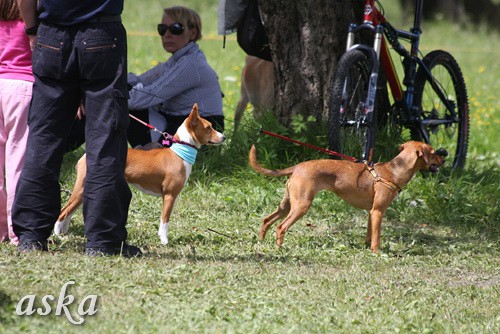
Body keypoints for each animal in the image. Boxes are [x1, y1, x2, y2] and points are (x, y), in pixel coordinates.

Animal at [54, 103, 225, 244]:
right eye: (208, 127)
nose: (223, 137)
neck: (179, 153)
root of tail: (87, 155)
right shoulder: (169, 196)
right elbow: (164, 222)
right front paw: (164, 241)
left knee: (69, 211)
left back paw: (63, 232)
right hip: (82, 189)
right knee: (63, 212)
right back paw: (57, 235)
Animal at [250, 141, 446, 253]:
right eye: (434, 152)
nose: (444, 159)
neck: (393, 170)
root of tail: (297, 167)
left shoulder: (371, 213)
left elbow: (369, 234)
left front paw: (366, 248)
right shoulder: (378, 212)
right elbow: (376, 237)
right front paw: (376, 253)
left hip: (287, 205)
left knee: (267, 220)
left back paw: (261, 241)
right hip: (301, 206)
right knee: (281, 227)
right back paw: (279, 249)